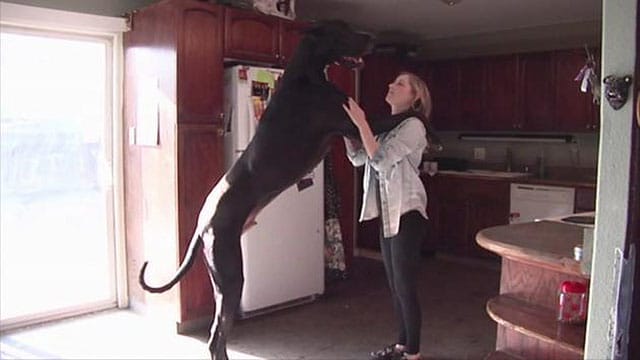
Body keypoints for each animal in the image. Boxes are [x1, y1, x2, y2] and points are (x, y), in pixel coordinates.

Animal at [140, 21, 378, 358]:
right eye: (343, 30)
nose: (373, 39)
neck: (307, 72)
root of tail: (202, 223)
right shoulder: (350, 123)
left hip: (220, 281)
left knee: (217, 334)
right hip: (231, 275)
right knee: (216, 336)